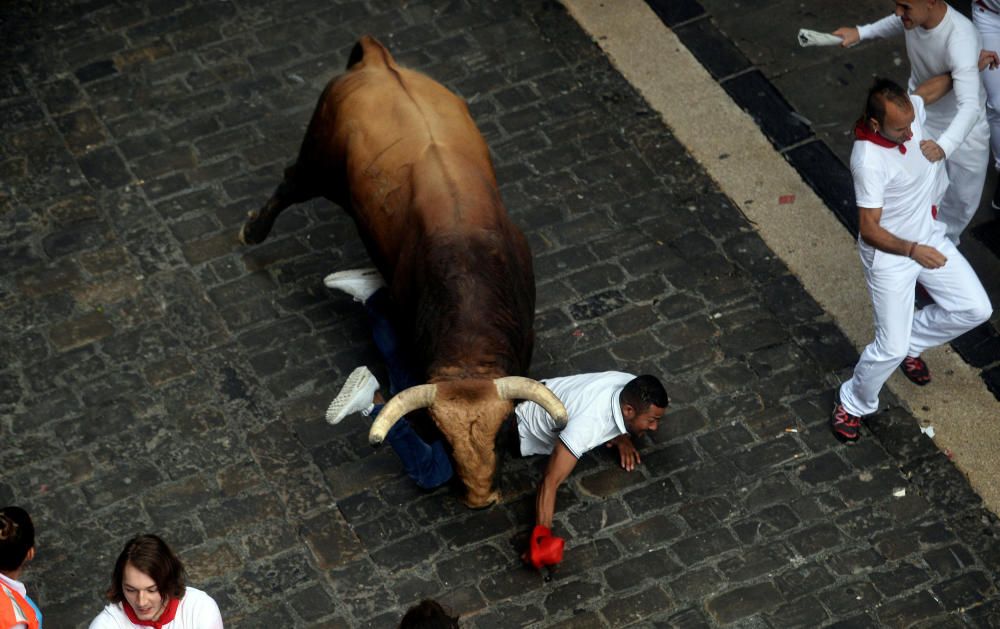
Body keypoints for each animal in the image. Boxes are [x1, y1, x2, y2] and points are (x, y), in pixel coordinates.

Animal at [242, 35, 568, 506]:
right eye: (444, 438)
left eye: (503, 430)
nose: (480, 499)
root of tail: (380, 64)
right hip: (316, 164)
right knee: (290, 183)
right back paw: (253, 231)